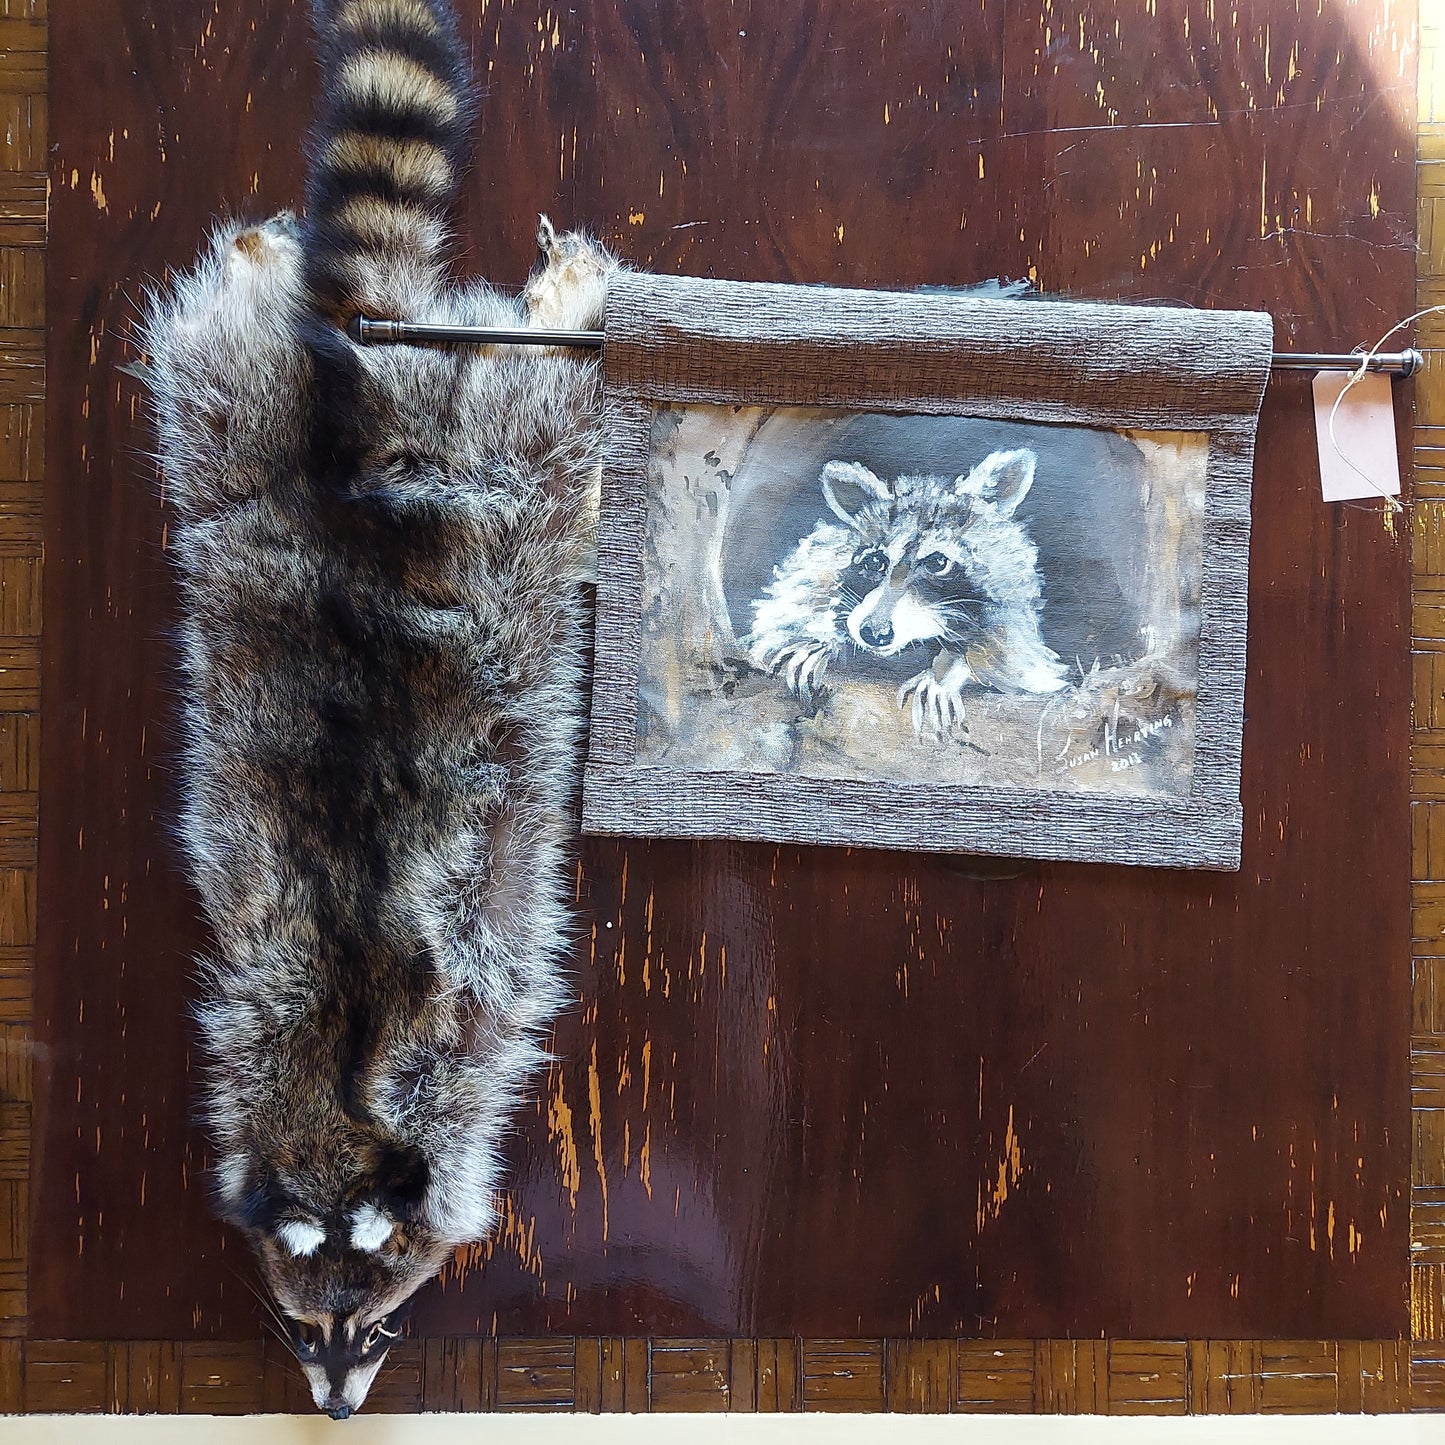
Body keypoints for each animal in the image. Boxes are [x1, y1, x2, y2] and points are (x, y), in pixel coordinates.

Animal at [142, 0, 617, 1418]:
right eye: (313, 1331)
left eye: (379, 1324)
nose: (339, 1407)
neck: (342, 1116)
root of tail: (360, 435)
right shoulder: (258, 1026)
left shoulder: (459, 1045)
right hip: (247, 418)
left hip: (446, 474)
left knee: (541, 416)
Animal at [745, 449, 1069, 736]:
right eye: (874, 561)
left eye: (937, 562)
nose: (873, 633)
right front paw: (820, 637)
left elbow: (1010, 659)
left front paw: (947, 669)